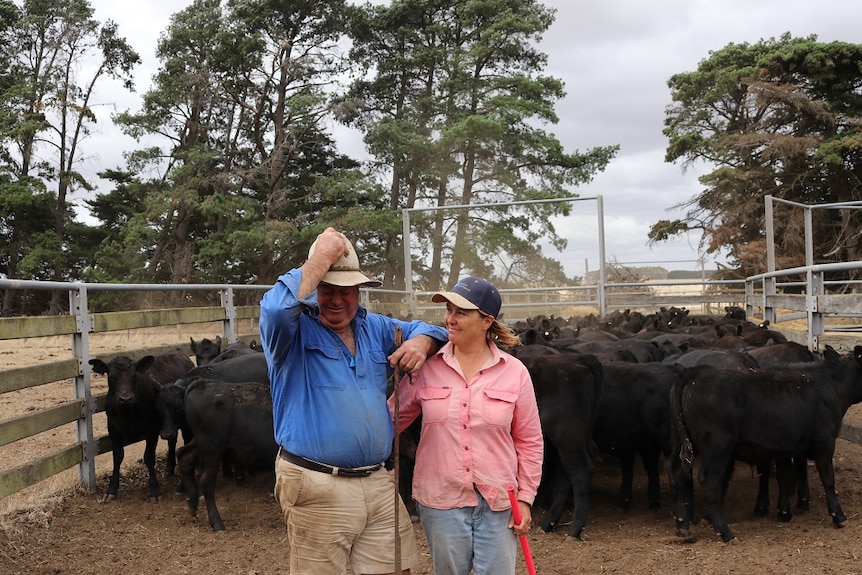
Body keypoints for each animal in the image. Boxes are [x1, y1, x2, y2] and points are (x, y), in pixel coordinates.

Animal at [89, 348, 194, 502]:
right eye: (112, 377)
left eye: (134, 376)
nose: (126, 398)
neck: (127, 412)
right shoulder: (113, 429)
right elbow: (117, 456)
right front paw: (111, 489)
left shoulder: (152, 429)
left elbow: (149, 456)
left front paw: (154, 489)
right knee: (172, 441)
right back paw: (169, 468)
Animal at [178, 378, 278, 532]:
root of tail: (203, 384)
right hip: (212, 449)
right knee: (206, 481)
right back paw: (217, 522)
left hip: (202, 443)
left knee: (185, 458)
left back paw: (192, 504)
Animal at [672, 346, 862, 544]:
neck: (830, 385)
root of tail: (697, 374)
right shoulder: (824, 443)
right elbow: (828, 479)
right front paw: (838, 515)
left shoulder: (785, 447)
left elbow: (785, 476)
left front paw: (784, 512)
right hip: (716, 447)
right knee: (709, 481)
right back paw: (725, 532)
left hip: (687, 444)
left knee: (679, 472)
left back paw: (682, 523)